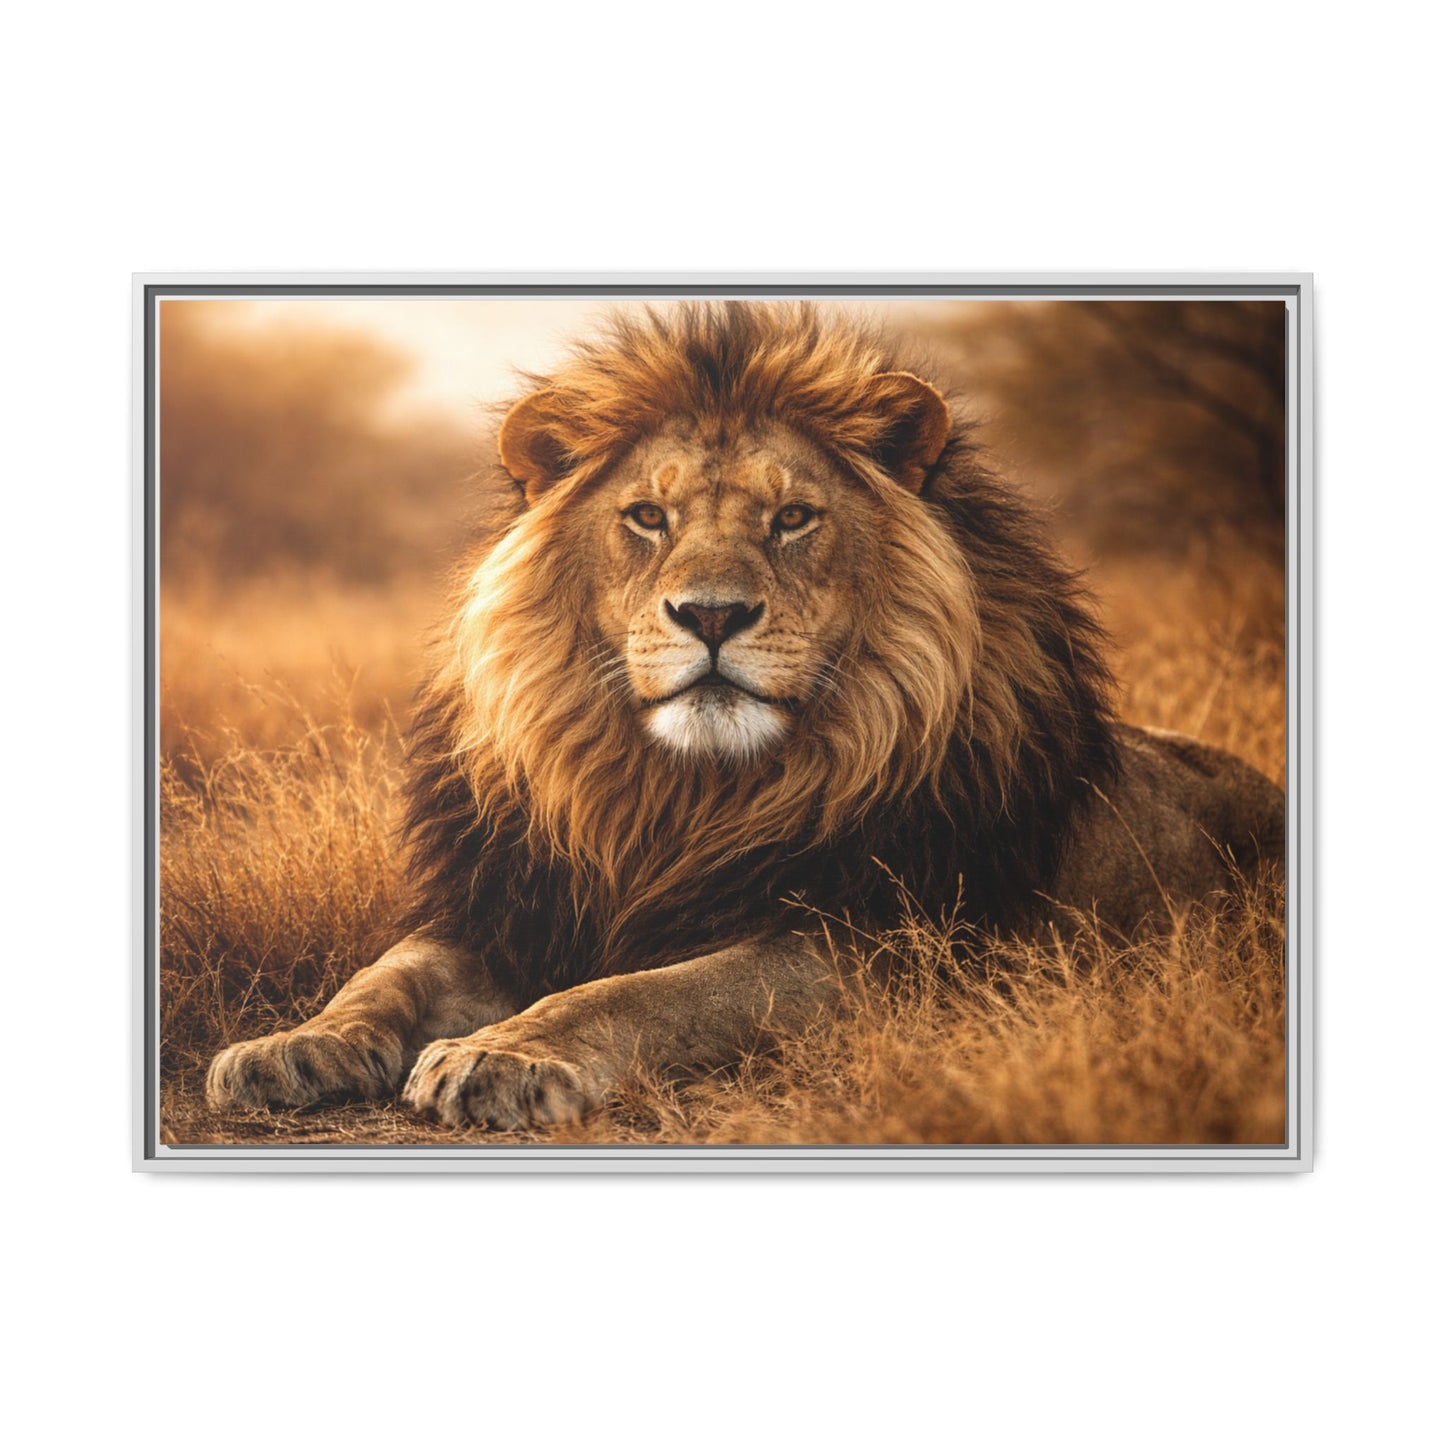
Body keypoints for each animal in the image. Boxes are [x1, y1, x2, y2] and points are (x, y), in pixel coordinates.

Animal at [206, 302, 1285, 1130]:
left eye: (792, 517)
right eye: (648, 517)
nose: (713, 614)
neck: (677, 797)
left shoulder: (868, 948)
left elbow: (645, 990)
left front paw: (503, 1053)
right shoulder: (513, 904)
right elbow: (386, 972)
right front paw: (287, 1045)